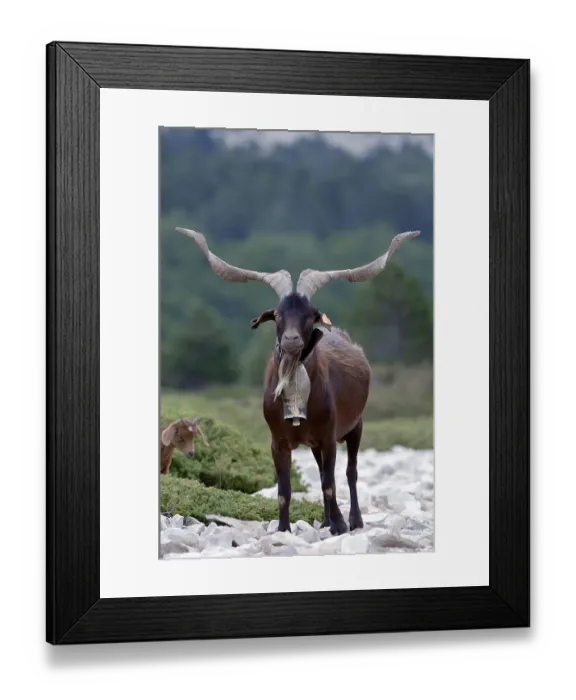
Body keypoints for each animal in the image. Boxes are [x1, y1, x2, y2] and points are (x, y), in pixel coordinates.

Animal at [176, 226, 420, 534]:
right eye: (278, 314)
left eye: (309, 315)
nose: (291, 340)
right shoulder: (278, 442)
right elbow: (285, 490)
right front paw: (284, 530)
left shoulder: (329, 436)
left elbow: (329, 483)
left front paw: (340, 526)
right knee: (323, 471)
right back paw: (327, 520)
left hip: (356, 425)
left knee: (350, 472)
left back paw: (354, 520)